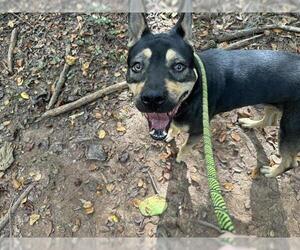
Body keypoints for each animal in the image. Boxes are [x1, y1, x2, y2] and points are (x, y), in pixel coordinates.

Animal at [126, 13, 300, 178]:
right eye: (137, 66)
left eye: (179, 66)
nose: (152, 99)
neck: (193, 93)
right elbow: (175, 126)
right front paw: (171, 134)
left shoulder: (198, 132)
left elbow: (185, 146)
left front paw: (180, 157)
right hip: (272, 102)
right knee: (270, 120)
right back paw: (250, 123)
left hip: (290, 129)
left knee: (290, 162)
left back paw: (271, 172)